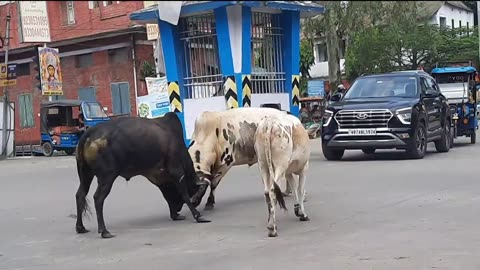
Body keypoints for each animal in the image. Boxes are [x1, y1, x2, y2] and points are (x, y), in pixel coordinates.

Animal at [75, 112, 210, 238]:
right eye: (198, 191)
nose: (178, 209)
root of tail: (89, 133)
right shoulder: (176, 169)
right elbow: (183, 193)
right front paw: (198, 216)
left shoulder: (161, 178)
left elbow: (168, 196)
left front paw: (175, 215)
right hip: (107, 176)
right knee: (98, 198)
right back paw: (104, 231)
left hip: (85, 174)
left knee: (80, 195)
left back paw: (80, 227)